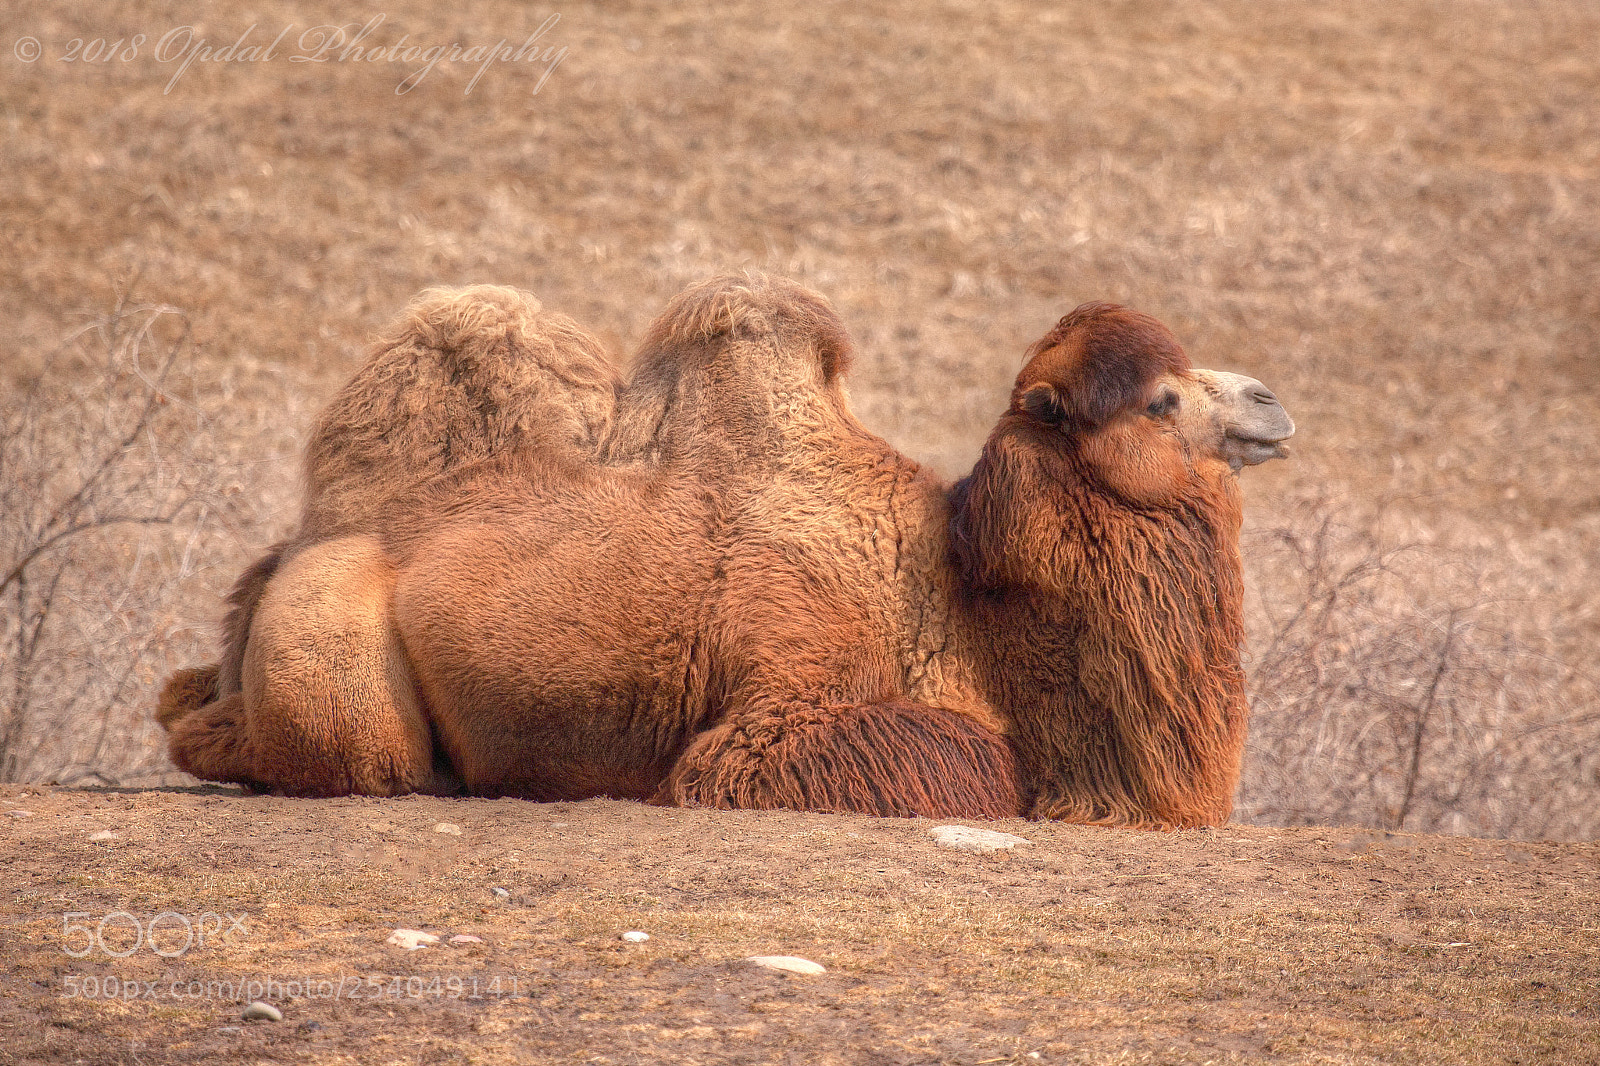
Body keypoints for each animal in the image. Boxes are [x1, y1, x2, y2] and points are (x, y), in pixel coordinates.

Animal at [158, 274, 1293, 827]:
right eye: (1161, 400)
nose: (1270, 403)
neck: (959, 600)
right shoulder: (785, 696)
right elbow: (967, 763)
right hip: (337, 646)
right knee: (319, 749)